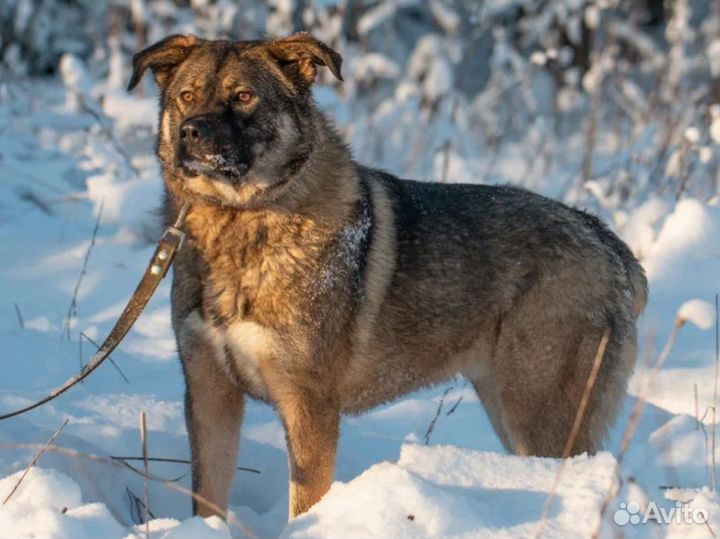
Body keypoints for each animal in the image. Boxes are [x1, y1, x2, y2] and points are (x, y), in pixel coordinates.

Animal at [126, 32, 648, 520]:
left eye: (243, 96)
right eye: (186, 96)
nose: (191, 133)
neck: (240, 226)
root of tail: (606, 240)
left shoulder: (309, 406)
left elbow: (305, 502)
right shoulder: (209, 394)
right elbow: (207, 498)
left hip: (543, 415)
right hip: (509, 407)